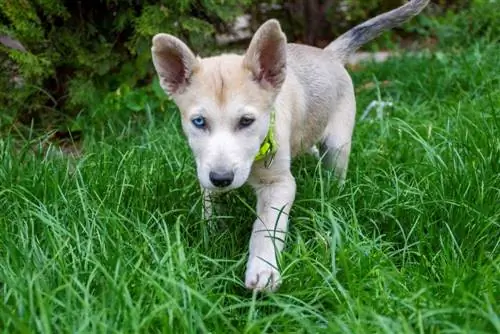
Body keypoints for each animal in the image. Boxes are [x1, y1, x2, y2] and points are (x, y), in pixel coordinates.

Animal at [151, 0, 430, 290]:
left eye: (247, 121)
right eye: (199, 121)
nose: (222, 178)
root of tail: (328, 54)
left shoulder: (279, 184)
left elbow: (266, 228)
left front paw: (263, 269)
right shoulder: (206, 171)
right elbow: (211, 208)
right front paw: (212, 235)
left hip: (338, 144)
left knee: (334, 169)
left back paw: (333, 193)